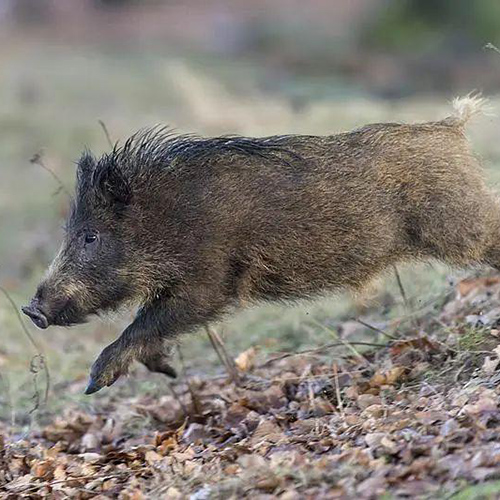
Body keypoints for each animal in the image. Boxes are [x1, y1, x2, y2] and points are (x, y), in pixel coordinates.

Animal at [23, 96, 500, 394]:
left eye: (90, 235)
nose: (31, 310)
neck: (165, 219)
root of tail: (452, 127)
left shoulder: (209, 281)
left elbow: (147, 322)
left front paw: (93, 383)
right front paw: (169, 371)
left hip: (459, 223)